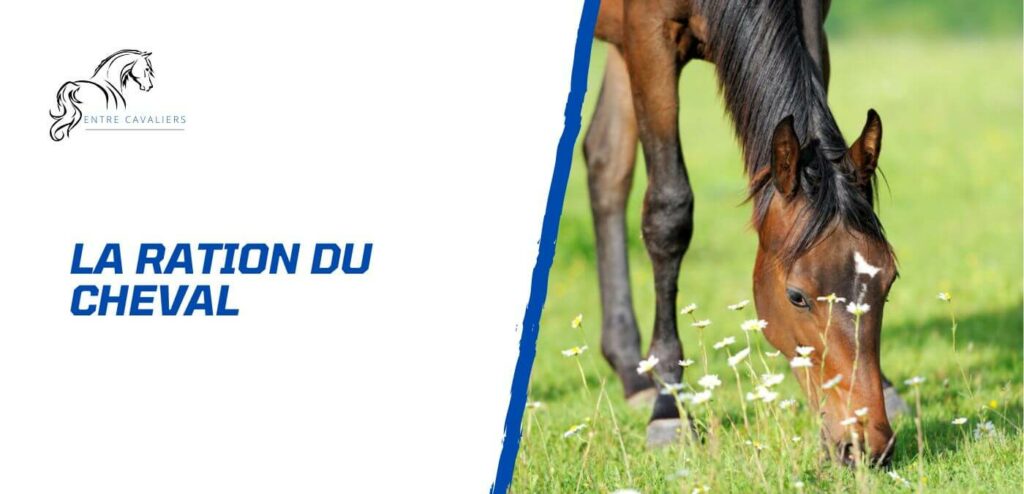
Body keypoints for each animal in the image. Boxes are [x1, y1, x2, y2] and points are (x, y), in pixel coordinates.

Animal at [584, 0, 904, 465]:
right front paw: (670, 410)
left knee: (605, 162)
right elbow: (668, 211)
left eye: (889, 282)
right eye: (797, 297)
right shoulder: (648, 34)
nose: (867, 445)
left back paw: (631, 369)